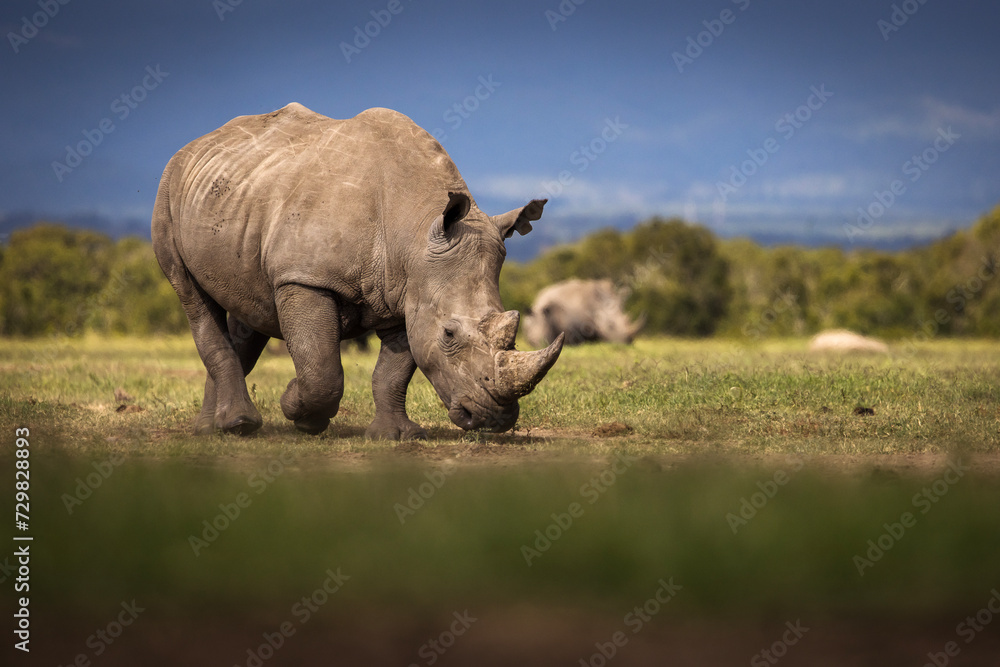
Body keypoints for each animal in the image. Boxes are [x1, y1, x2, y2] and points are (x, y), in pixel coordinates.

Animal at [152, 103, 564, 439]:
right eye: (448, 334)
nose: (495, 420)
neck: (414, 231)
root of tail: (196, 144)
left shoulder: (408, 293)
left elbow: (393, 371)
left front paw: (396, 436)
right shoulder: (305, 278)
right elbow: (320, 368)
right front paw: (300, 413)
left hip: (234, 199)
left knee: (247, 309)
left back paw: (214, 427)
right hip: (167, 191)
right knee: (194, 299)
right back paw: (236, 427)